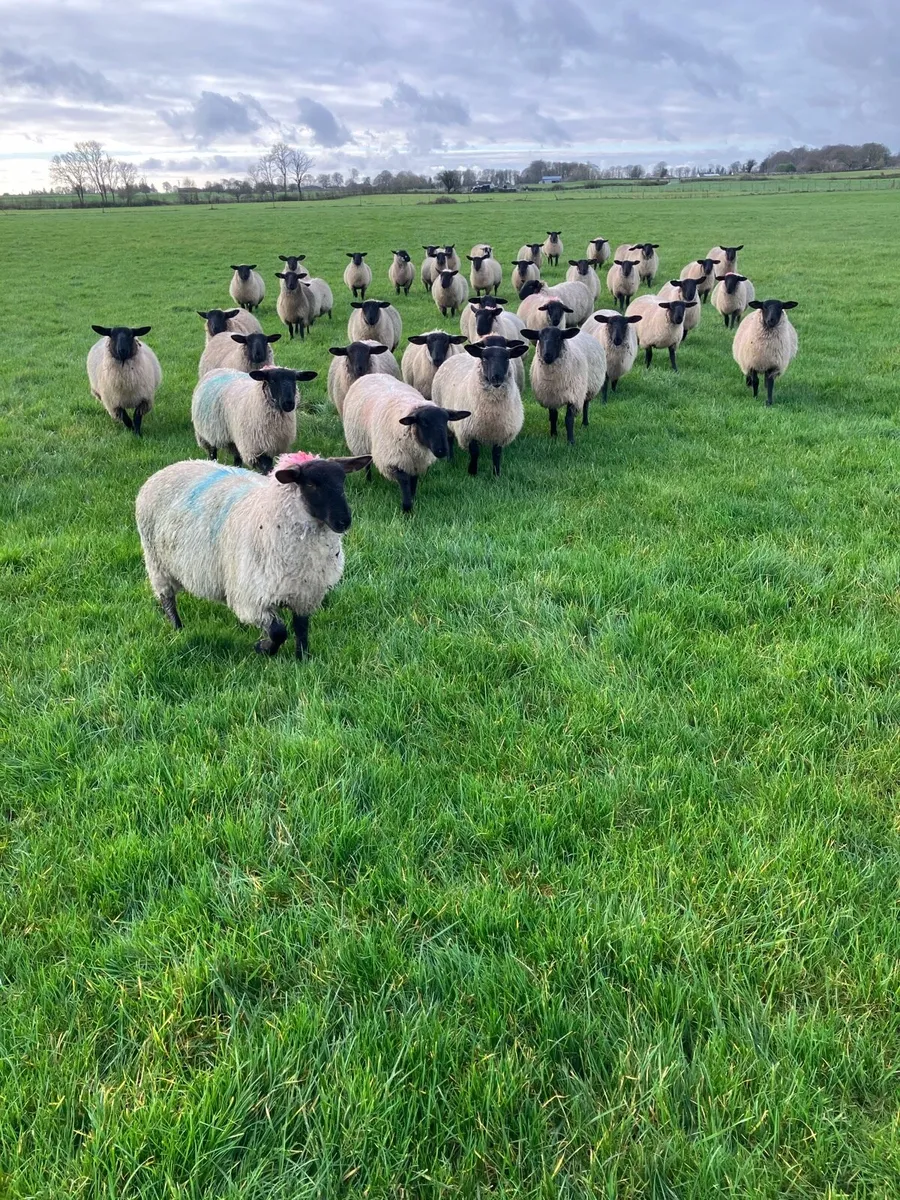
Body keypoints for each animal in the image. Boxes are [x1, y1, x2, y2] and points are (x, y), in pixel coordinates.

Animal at [135, 450, 371, 659]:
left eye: (342, 481)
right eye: (312, 484)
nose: (343, 521)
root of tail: (170, 467)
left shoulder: (304, 593)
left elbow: (301, 628)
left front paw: (302, 659)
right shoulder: (251, 597)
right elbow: (278, 631)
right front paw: (264, 648)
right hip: (157, 563)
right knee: (167, 598)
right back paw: (178, 628)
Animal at [341, 376, 470, 513]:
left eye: (446, 421)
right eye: (424, 422)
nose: (442, 451)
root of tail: (371, 375)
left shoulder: (416, 463)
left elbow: (413, 481)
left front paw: (412, 500)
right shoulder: (393, 461)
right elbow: (404, 481)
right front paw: (407, 508)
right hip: (361, 444)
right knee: (367, 465)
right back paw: (368, 480)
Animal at [431, 338, 528, 477]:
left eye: (507, 358)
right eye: (484, 358)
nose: (496, 378)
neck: (492, 410)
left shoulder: (500, 432)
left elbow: (496, 454)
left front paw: (496, 474)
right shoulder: (469, 431)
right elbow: (475, 453)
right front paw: (472, 472)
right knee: (449, 439)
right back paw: (450, 460)